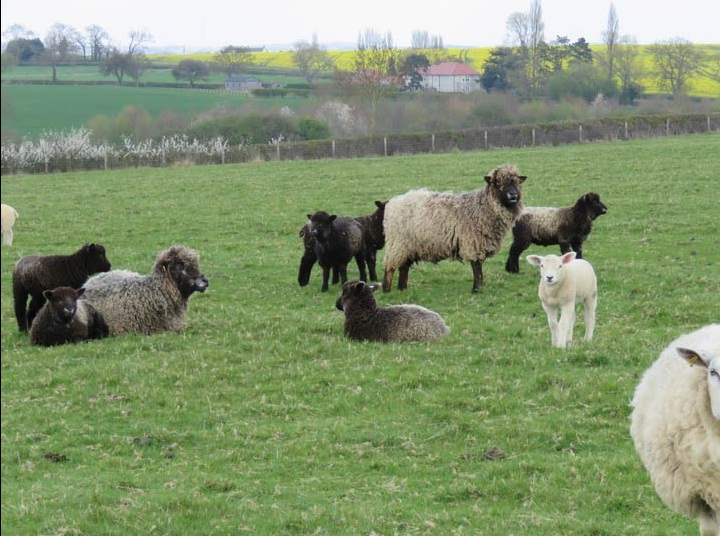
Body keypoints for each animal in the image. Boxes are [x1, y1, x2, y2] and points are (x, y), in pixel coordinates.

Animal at [382, 163, 528, 294]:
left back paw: (402, 288)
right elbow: (477, 268)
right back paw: (386, 289)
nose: (513, 195)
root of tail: (392, 204)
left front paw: (480, 287)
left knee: (404, 267)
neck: (482, 208)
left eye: (517, 182)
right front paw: (476, 290)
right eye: (497, 182)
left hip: (408, 245)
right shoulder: (473, 243)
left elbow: (479, 269)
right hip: (398, 243)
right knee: (390, 266)